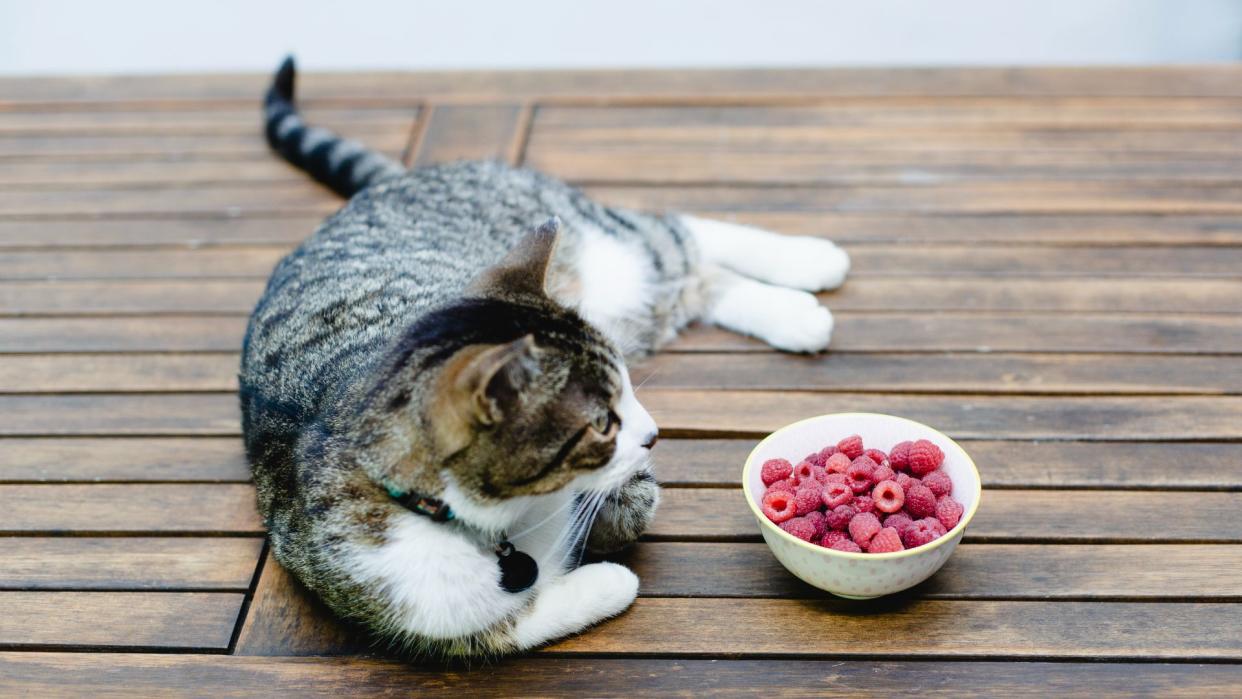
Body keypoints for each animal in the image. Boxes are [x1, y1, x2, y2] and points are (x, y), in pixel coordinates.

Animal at [237, 57, 849, 660]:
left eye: (628, 389)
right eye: (602, 421)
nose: (655, 435)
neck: (500, 527)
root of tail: (391, 183)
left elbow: (633, 502)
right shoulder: (425, 615)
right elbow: (517, 622)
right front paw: (606, 579)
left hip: (601, 246)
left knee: (675, 234)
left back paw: (810, 261)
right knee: (692, 281)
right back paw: (793, 310)